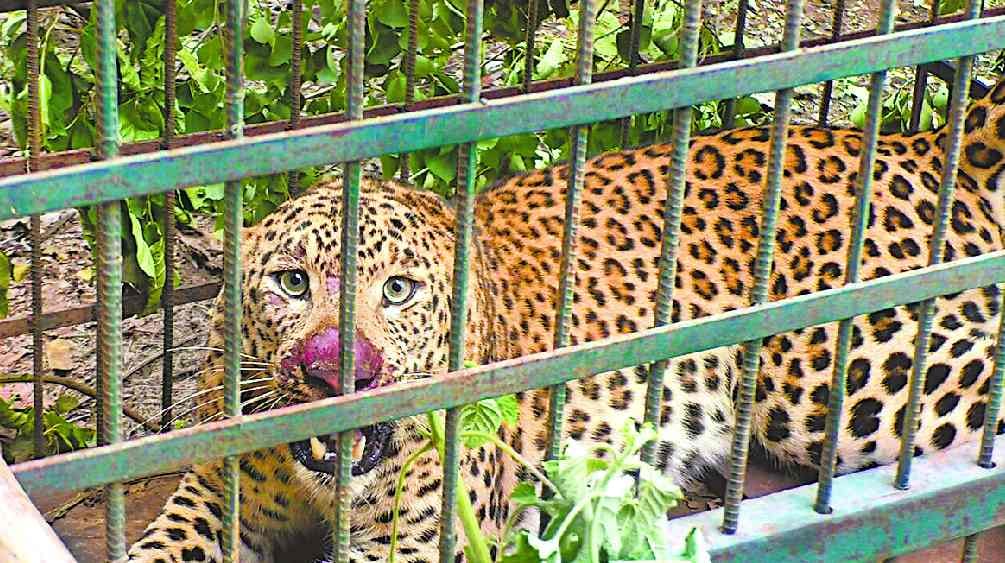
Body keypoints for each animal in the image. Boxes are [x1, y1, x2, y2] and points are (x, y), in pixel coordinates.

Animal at [126, 75, 1005, 563]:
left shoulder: (417, 539)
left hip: (863, 385)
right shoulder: (210, 498)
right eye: (291, 282)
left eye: (398, 291)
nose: (336, 372)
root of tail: (927, 144)